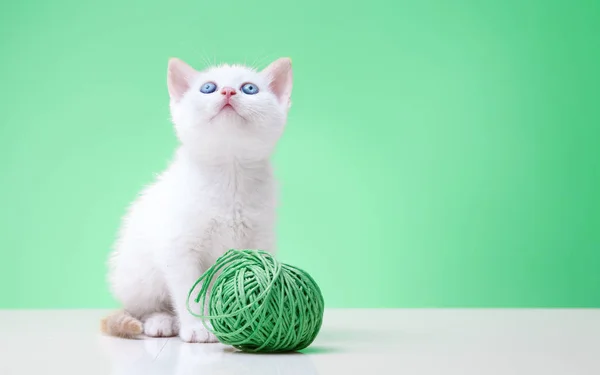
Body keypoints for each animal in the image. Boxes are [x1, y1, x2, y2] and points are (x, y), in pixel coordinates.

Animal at [101, 56, 292, 344]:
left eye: (249, 89)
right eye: (208, 88)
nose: (228, 91)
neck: (230, 172)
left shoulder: (258, 240)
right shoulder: (178, 248)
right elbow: (188, 291)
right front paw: (198, 327)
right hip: (138, 276)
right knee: (143, 308)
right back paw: (161, 321)